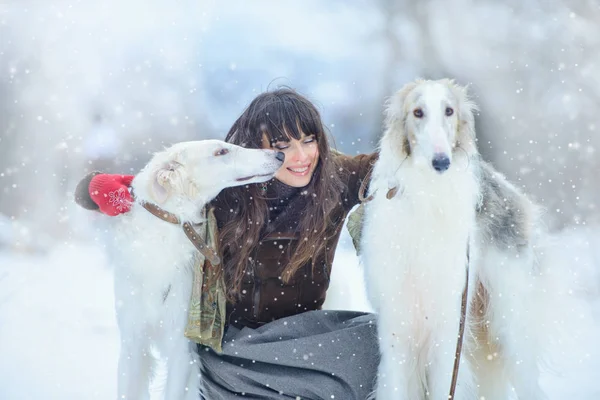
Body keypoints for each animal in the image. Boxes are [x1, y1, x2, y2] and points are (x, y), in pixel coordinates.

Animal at [360, 79, 564, 400]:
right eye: (417, 112)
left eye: (449, 110)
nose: (441, 162)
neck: (427, 193)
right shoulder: (397, 327)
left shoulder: (448, 325)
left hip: (510, 320)